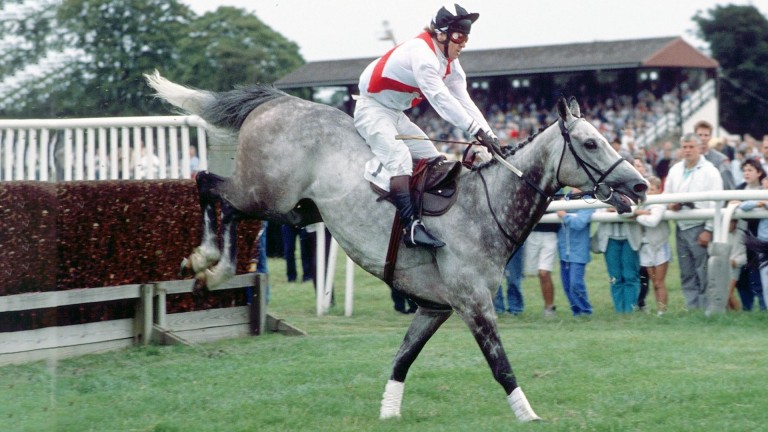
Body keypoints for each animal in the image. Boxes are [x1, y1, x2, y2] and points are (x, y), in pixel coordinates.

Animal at [145, 71, 647, 422]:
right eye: (590, 143)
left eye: (604, 138)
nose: (640, 185)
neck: (485, 207)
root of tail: (280, 101)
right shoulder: (473, 303)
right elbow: (500, 364)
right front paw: (528, 414)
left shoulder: (434, 307)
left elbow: (403, 357)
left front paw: (389, 411)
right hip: (266, 192)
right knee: (208, 185)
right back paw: (209, 262)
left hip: (294, 211)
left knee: (225, 203)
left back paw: (212, 267)